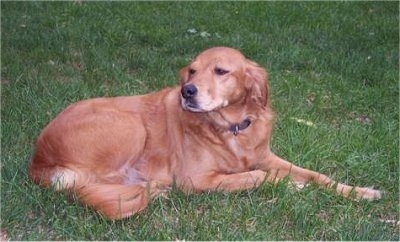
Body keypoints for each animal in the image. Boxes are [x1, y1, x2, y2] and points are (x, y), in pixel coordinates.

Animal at [28, 46, 382, 218]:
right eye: (192, 70)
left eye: (221, 70)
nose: (187, 91)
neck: (231, 128)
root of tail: (38, 162)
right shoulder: (196, 180)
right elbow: (256, 177)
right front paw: (290, 186)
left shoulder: (266, 157)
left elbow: (317, 175)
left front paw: (360, 191)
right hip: (130, 125)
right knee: (97, 184)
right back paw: (153, 189)